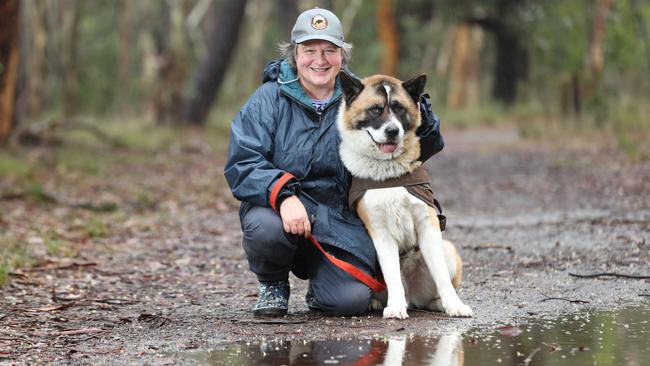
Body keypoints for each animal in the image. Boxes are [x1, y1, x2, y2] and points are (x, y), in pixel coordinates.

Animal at [336, 71, 468, 318]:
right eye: (375, 109)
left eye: (399, 108)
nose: (392, 131)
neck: (389, 173)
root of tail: (411, 295)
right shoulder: (380, 232)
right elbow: (391, 275)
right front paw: (395, 307)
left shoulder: (428, 226)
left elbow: (441, 275)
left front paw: (454, 305)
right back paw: (380, 302)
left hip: (447, 249)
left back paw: (438, 303)